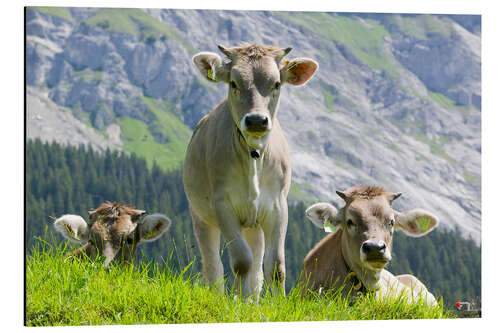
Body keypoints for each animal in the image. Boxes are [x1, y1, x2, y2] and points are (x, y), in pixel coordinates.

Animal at [183, 42, 316, 296]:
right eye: (234, 83)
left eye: (276, 84)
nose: (256, 120)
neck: (254, 155)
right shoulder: (223, 205)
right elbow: (241, 261)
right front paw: (237, 301)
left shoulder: (278, 207)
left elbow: (275, 266)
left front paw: (275, 304)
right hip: (201, 217)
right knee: (213, 265)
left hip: (254, 225)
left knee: (257, 270)